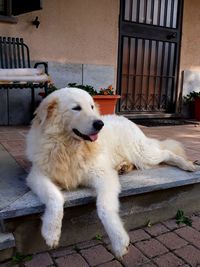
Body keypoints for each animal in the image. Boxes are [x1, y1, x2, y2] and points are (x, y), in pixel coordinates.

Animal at [25, 87, 198, 258]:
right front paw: (51, 232)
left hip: (143, 154)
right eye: (76, 108)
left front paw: (119, 240)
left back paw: (187, 165)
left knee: (166, 153)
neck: (69, 148)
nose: (99, 124)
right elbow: (55, 198)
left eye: (92, 107)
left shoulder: (104, 176)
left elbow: (104, 207)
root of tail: (125, 119)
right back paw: (124, 167)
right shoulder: (37, 176)